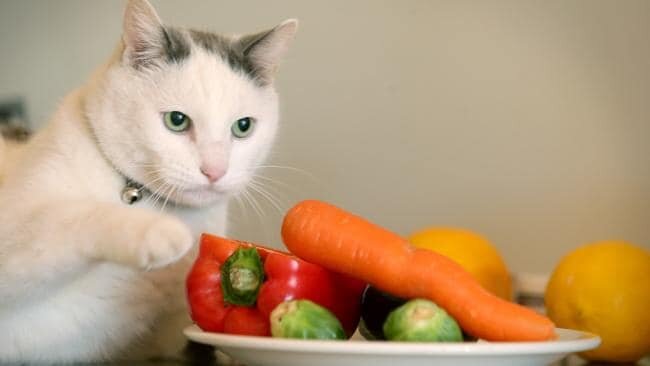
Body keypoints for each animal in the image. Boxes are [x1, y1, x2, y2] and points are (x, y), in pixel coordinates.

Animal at [0, 0, 298, 360]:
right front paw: (161, 234)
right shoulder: (15, 227)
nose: (215, 170)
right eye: (177, 120)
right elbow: (64, 219)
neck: (141, 197)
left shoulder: (169, 336)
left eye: (243, 127)